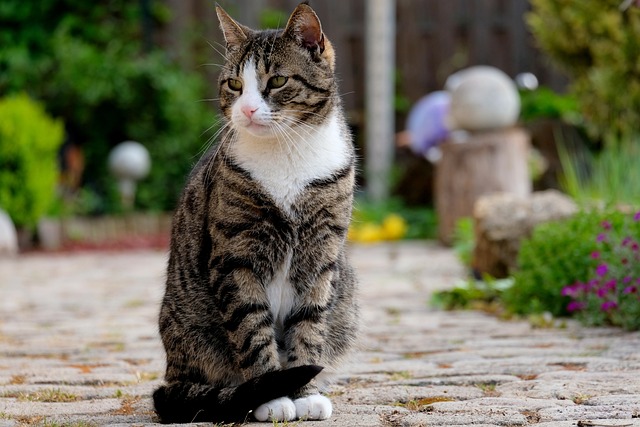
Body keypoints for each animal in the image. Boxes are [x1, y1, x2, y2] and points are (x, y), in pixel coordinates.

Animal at [152, 1, 358, 424]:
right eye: (234, 84)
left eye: (277, 80)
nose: (246, 109)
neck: (287, 154)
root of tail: (171, 372)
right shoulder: (236, 257)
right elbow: (251, 327)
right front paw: (273, 397)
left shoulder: (322, 254)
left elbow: (309, 325)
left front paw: (305, 393)